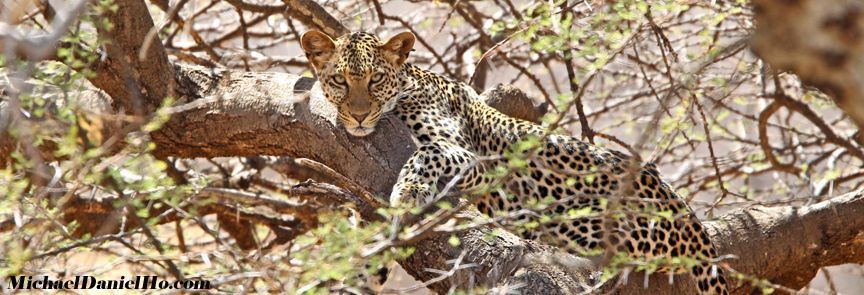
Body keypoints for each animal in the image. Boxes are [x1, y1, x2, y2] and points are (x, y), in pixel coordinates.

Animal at [300, 30, 732, 295]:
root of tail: (690, 220)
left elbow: (428, 152)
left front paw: (408, 191)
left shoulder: (469, 154)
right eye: (339, 80)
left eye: (375, 80)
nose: (358, 116)